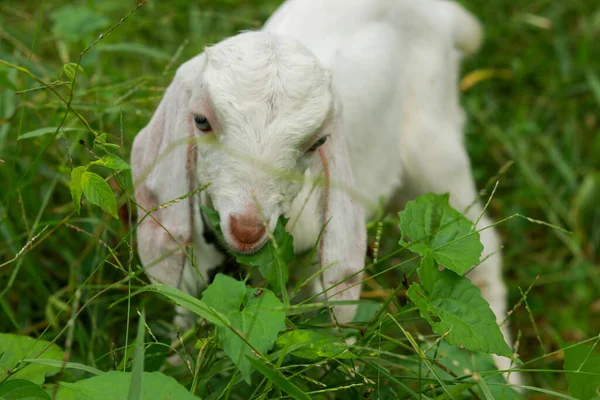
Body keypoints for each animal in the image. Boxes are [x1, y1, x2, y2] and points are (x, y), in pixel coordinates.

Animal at [134, 0, 516, 386]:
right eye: (200, 121)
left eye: (318, 142)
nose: (248, 229)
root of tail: (441, 13)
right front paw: (177, 365)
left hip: (435, 149)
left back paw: (500, 373)